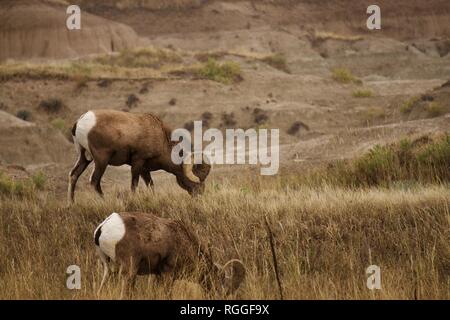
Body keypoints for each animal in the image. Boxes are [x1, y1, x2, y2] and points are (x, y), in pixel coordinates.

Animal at [68, 109, 211, 201]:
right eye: (199, 176)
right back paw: (105, 201)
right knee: (94, 181)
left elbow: (150, 185)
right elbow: (134, 184)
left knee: (74, 175)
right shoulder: (138, 162)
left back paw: (72, 203)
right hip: (101, 160)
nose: (200, 194)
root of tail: (80, 122)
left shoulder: (144, 169)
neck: (162, 141)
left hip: (84, 158)